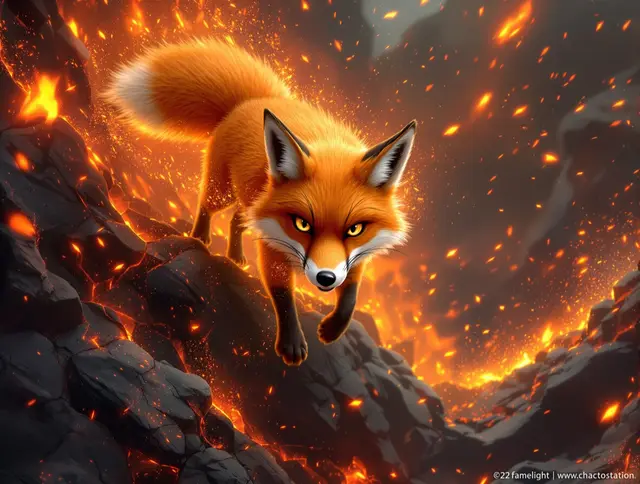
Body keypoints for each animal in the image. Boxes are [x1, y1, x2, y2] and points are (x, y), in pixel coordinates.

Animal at [106, 39, 417, 366]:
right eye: (302, 224)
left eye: (355, 229)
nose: (326, 278)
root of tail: (255, 100)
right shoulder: (272, 246)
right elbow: (282, 296)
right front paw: (291, 344)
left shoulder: (357, 256)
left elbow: (351, 297)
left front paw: (333, 328)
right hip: (223, 192)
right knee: (207, 205)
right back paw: (201, 237)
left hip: (249, 203)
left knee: (235, 220)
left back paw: (235, 254)